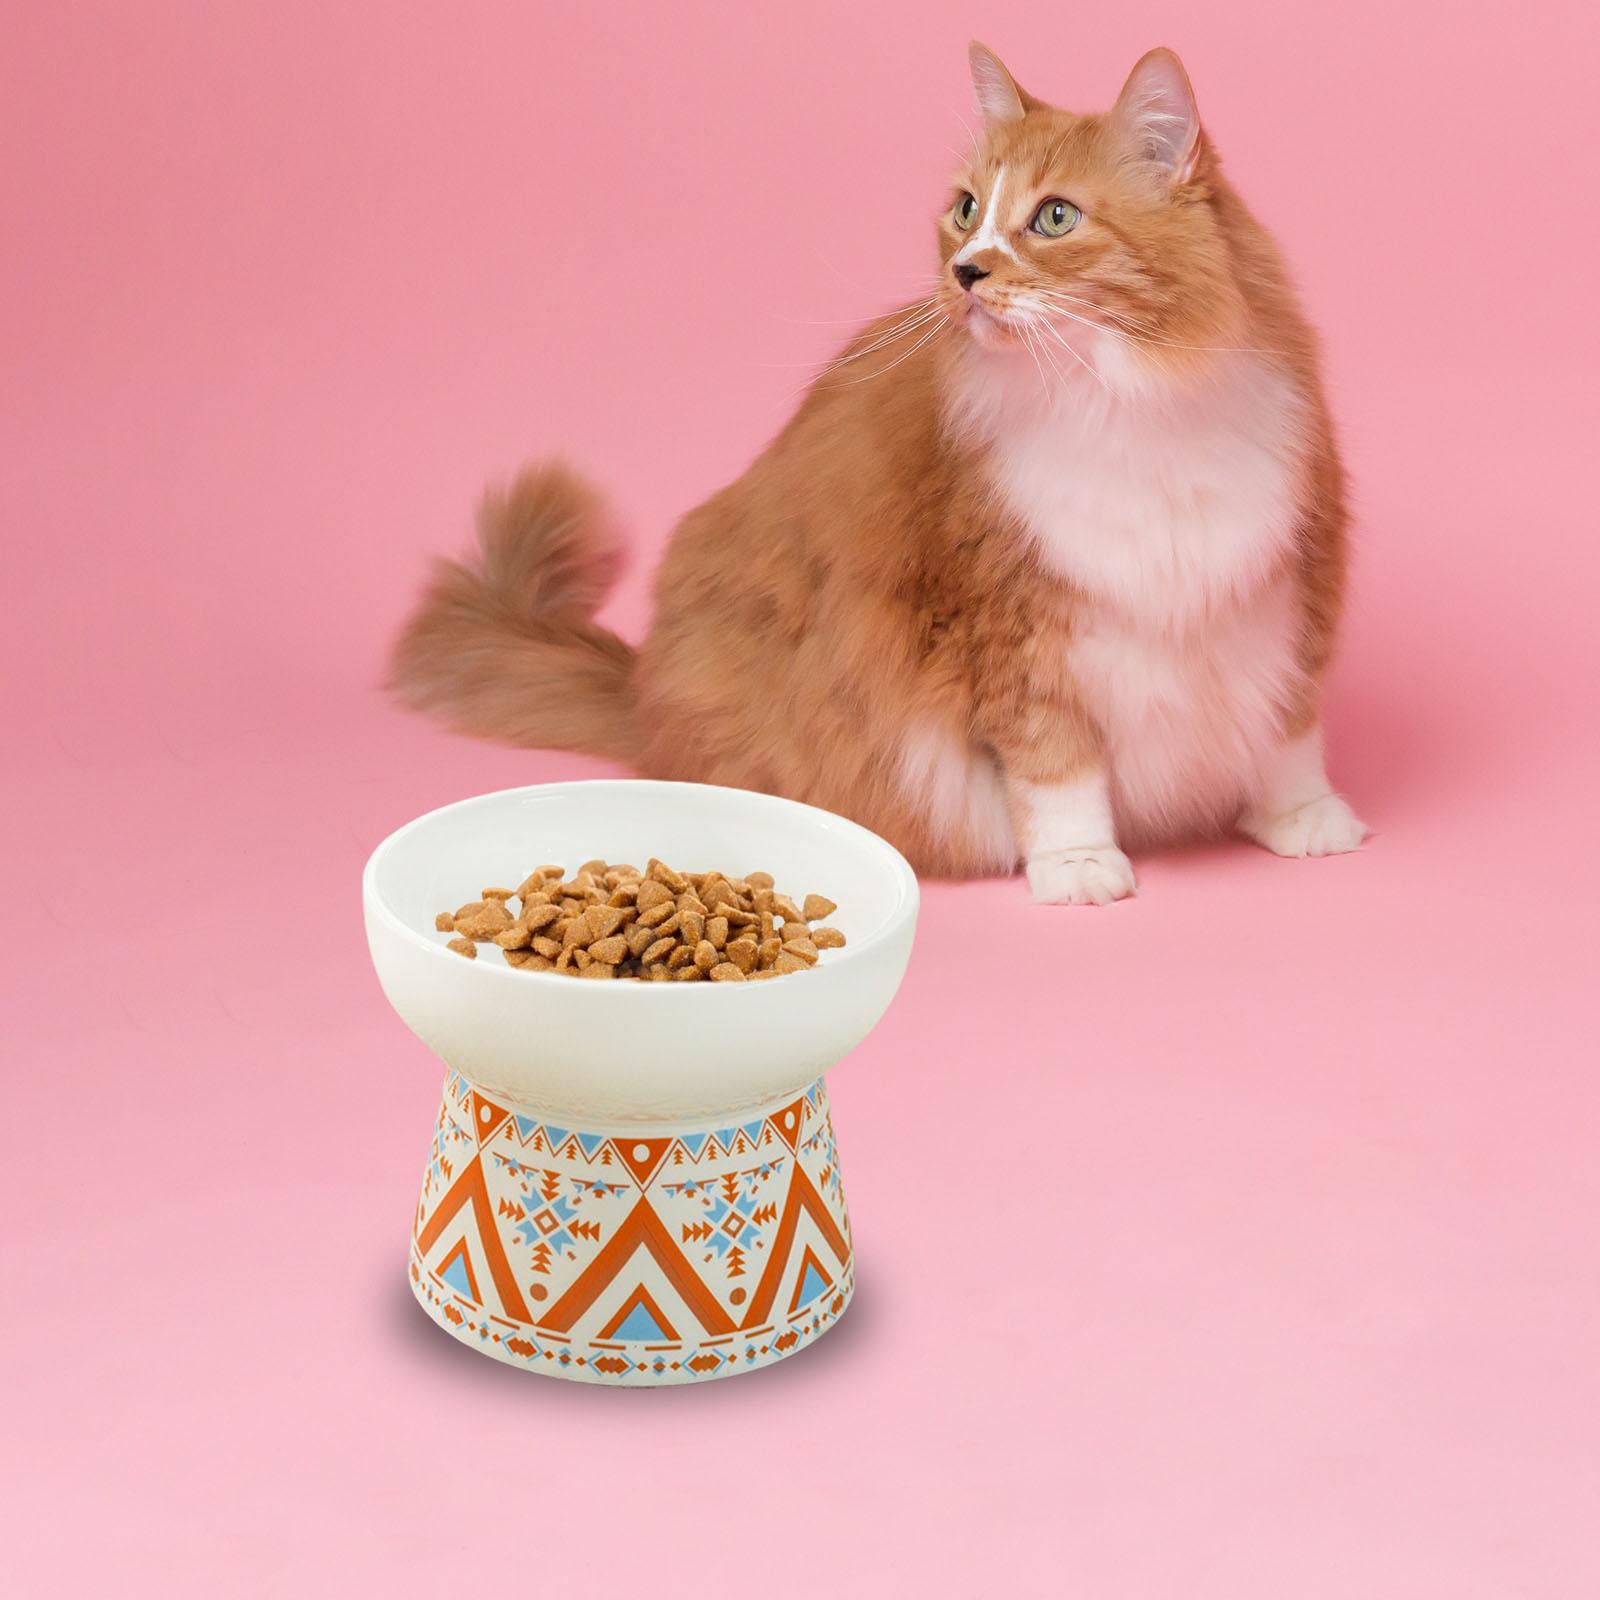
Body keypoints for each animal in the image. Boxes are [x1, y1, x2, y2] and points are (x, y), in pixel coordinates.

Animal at [390, 43, 1367, 904]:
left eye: (1055, 217)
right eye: (965, 209)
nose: (965, 271)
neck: (1120, 402)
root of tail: (644, 691)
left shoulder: (1289, 579)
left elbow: (1289, 728)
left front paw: (1303, 819)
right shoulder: (1015, 625)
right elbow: (1057, 768)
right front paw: (1080, 866)